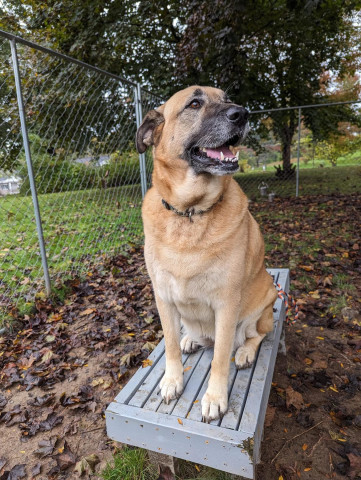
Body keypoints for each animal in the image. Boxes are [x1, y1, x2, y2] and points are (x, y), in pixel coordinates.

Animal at [135, 87, 276, 424]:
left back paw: (245, 351)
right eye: (195, 103)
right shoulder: (163, 297)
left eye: (226, 97)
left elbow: (220, 359)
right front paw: (172, 380)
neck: (190, 214)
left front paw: (214, 398)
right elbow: (170, 345)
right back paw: (191, 338)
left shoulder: (226, 304)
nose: (242, 113)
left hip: (267, 298)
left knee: (256, 335)